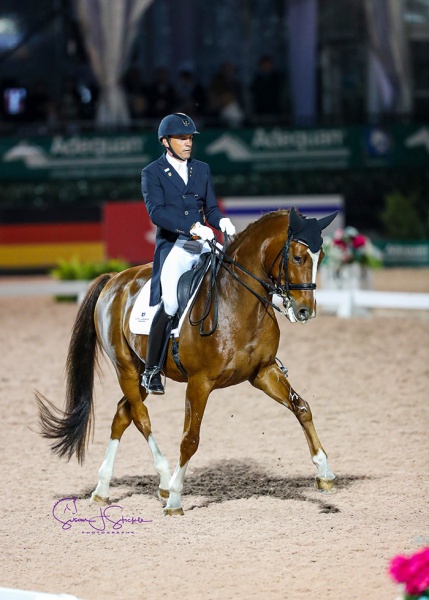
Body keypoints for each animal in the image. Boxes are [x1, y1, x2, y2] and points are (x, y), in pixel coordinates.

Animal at [36, 209, 336, 512]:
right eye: (297, 257)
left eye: (321, 256)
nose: (305, 311)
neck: (236, 301)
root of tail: (114, 279)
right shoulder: (200, 383)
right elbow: (190, 439)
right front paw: (176, 498)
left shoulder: (263, 372)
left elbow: (301, 407)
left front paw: (324, 473)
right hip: (125, 368)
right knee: (141, 418)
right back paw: (164, 481)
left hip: (144, 373)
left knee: (123, 414)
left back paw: (102, 488)